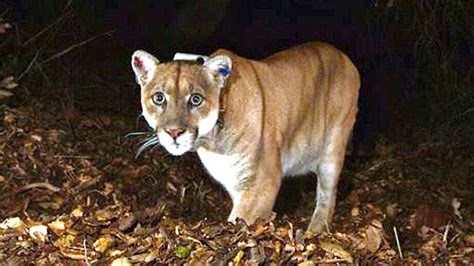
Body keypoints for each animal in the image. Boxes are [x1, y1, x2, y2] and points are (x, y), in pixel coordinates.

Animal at [130, 42, 360, 233]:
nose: (174, 132)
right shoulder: (236, 182)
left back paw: (315, 230)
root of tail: (344, 56)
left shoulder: (262, 181)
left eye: (196, 99)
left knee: (327, 196)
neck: (212, 143)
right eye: (159, 98)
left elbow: (240, 220)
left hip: (333, 148)